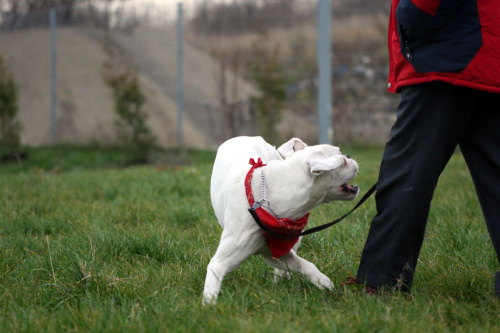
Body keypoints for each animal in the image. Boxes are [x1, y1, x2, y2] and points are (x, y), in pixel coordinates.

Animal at [203, 135, 360, 304]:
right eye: (342, 160)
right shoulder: (219, 263)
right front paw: (209, 306)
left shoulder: (276, 253)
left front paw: (324, 283)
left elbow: (305, 265)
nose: (349, 156)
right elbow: (211, 288)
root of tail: (250, 137)